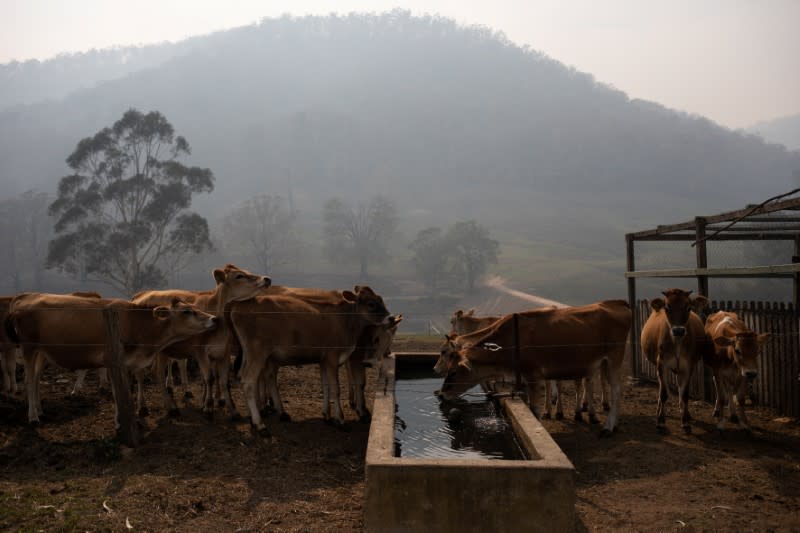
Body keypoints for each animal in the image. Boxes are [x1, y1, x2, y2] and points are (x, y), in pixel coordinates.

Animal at [3, 294, 219, 426]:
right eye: (186, 312)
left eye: (194, 307)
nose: (214, 319)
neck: (136, 324)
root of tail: (24, 297)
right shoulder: (113, 361)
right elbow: (119, 393)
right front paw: (121, 421)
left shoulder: (131, 363)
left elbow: (130, 388)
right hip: (29, 348)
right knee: (29, 380)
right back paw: (33, 417)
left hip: (42, 352)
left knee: (36, 380)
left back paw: (40, 411)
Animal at [131, 264, 268, 418]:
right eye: (239, 276)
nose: (266, 279)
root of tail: (140, 295)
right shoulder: (201, 352)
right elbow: (209, 378)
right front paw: (208, 406)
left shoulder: (223, 353)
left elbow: (224, 381)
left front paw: (232, 409)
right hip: (155, 351)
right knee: (147, 373)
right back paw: (149, 406)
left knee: (170, 367)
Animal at [227, 284, 392, 434]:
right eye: (371, 304)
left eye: (380, 299)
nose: (390, 317)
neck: (345, 321)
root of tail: (240, 304)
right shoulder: (332, 358)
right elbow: (336, 389)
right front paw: (340, 420)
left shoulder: (324, 361)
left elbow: (325, 386)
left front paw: (327, 416)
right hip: (258, 352)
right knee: (249, 381)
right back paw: (260, 424)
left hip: (251, 354)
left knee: (252, 376)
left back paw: (259, 417)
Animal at [438, 302, 632, 434]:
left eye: (453, 371)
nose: (440, 393)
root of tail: (616, 302)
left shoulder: (532, 374)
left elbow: (534, 408)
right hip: (598, 361)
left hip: (615, 356)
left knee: (615, 389)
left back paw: (607, 426)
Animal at [640, 286, 708, 432]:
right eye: (667, 308)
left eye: (688, 307)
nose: (678, 330)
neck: (677, 342)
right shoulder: (662, 364)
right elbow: (664, 393)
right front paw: (660, 421)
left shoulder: (688, 366)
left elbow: (685, 394)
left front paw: (685, 421)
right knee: (661, 387)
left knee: (680, 387)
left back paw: (686, 413)